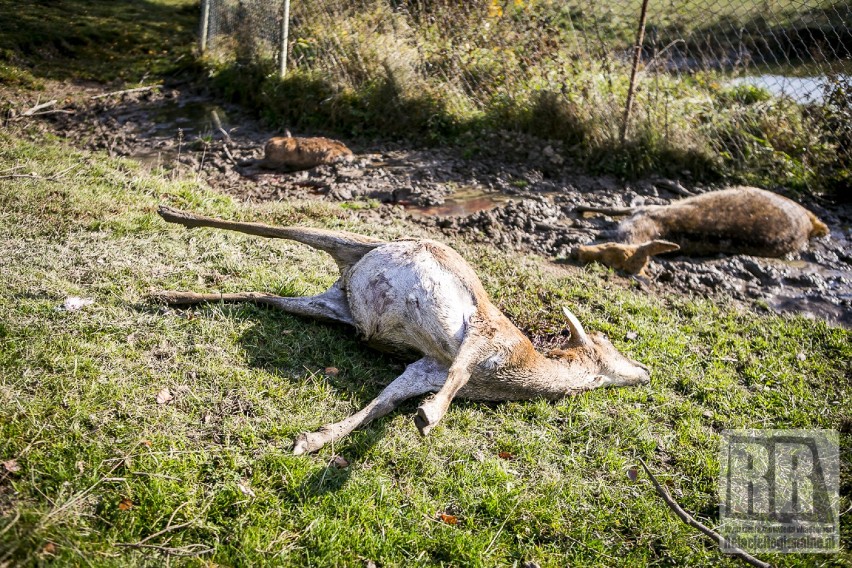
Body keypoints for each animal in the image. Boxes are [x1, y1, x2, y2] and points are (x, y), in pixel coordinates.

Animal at [153, 206, 648, 454]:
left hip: (329, 306)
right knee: (279, 227)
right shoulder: (486, 333)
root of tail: (346, 281)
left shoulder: (423, 368)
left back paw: (169, 294)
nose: (645, 371)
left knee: (265, 295)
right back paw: (171, 213)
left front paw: (311, 441)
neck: (516, 372)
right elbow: (458, 373)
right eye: (607, 343)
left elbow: (382, 404)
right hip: (353, 239)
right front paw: (429, 417)